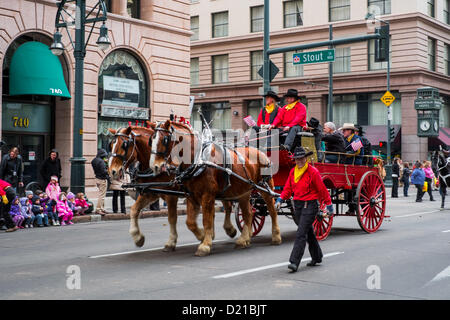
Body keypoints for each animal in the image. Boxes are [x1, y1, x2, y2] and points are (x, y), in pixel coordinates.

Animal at [107, 126, 237, 251]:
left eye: (124, 145)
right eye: (111, 145)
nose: (112, 171)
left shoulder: (171, 195)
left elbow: (172, 218)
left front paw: (173, 241)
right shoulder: (150, 192)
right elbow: (134, 210)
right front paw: (138, 237)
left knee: (228, 207)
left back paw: (230, 229)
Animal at [148, 119, 282, 256]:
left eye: (164, 139)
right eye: (151, 140)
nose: (155, 166)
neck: (199, 161)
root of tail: (260, 151)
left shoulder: (207, 195)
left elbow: (207, 220)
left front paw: (205, 245)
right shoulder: (191, 195)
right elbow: (190, 222)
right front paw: (203, 236)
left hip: (264, 186)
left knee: (272, 210)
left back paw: (276, 236)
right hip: (243, 192)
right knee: (248, 213)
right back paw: (243, 239)